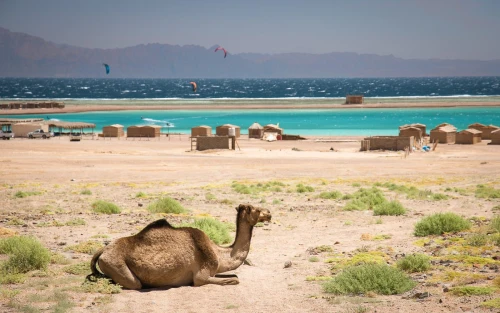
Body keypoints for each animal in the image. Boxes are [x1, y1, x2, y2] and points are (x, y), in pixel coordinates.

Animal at [88, 204, 272, 288]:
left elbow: (233, 276)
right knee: (132, 283)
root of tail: (104, 250)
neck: (219, 253)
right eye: (255, 209)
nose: (269, 213)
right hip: (116, 265)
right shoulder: (201, 276)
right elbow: (234, 279)